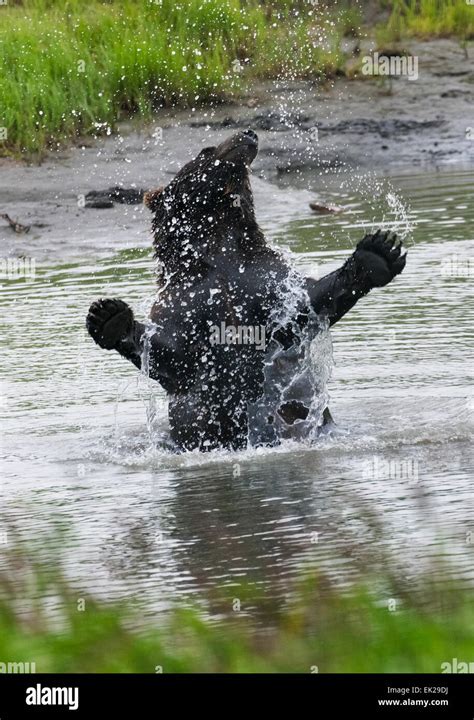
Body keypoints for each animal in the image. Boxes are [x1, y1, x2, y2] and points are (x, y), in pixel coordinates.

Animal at [87, 129, 406, 450]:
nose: (248, 133)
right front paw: (109, 315)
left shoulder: (266, 279)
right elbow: (170, 353)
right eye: (205, 149)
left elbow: (305, 306)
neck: (219, 251)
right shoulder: (182, 299)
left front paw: (376, 254)